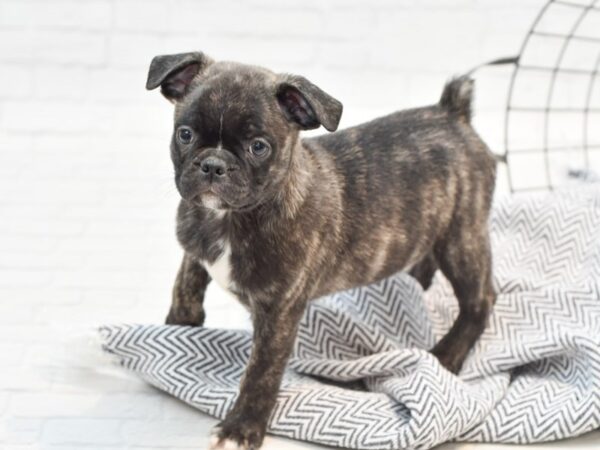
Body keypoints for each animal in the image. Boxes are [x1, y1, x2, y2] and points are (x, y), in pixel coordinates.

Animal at [146, 51, 496, 448]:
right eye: (185, 134)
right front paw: (178, 326)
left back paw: (447, 355)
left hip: (462, 237)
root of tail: (452, 113)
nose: (213, 165)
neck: (229, 218)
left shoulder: (279, 312)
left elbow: (262, 371)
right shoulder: (194, 247)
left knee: (480, 300)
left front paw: (241, 428)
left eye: (258, 146)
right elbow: (186, 283)